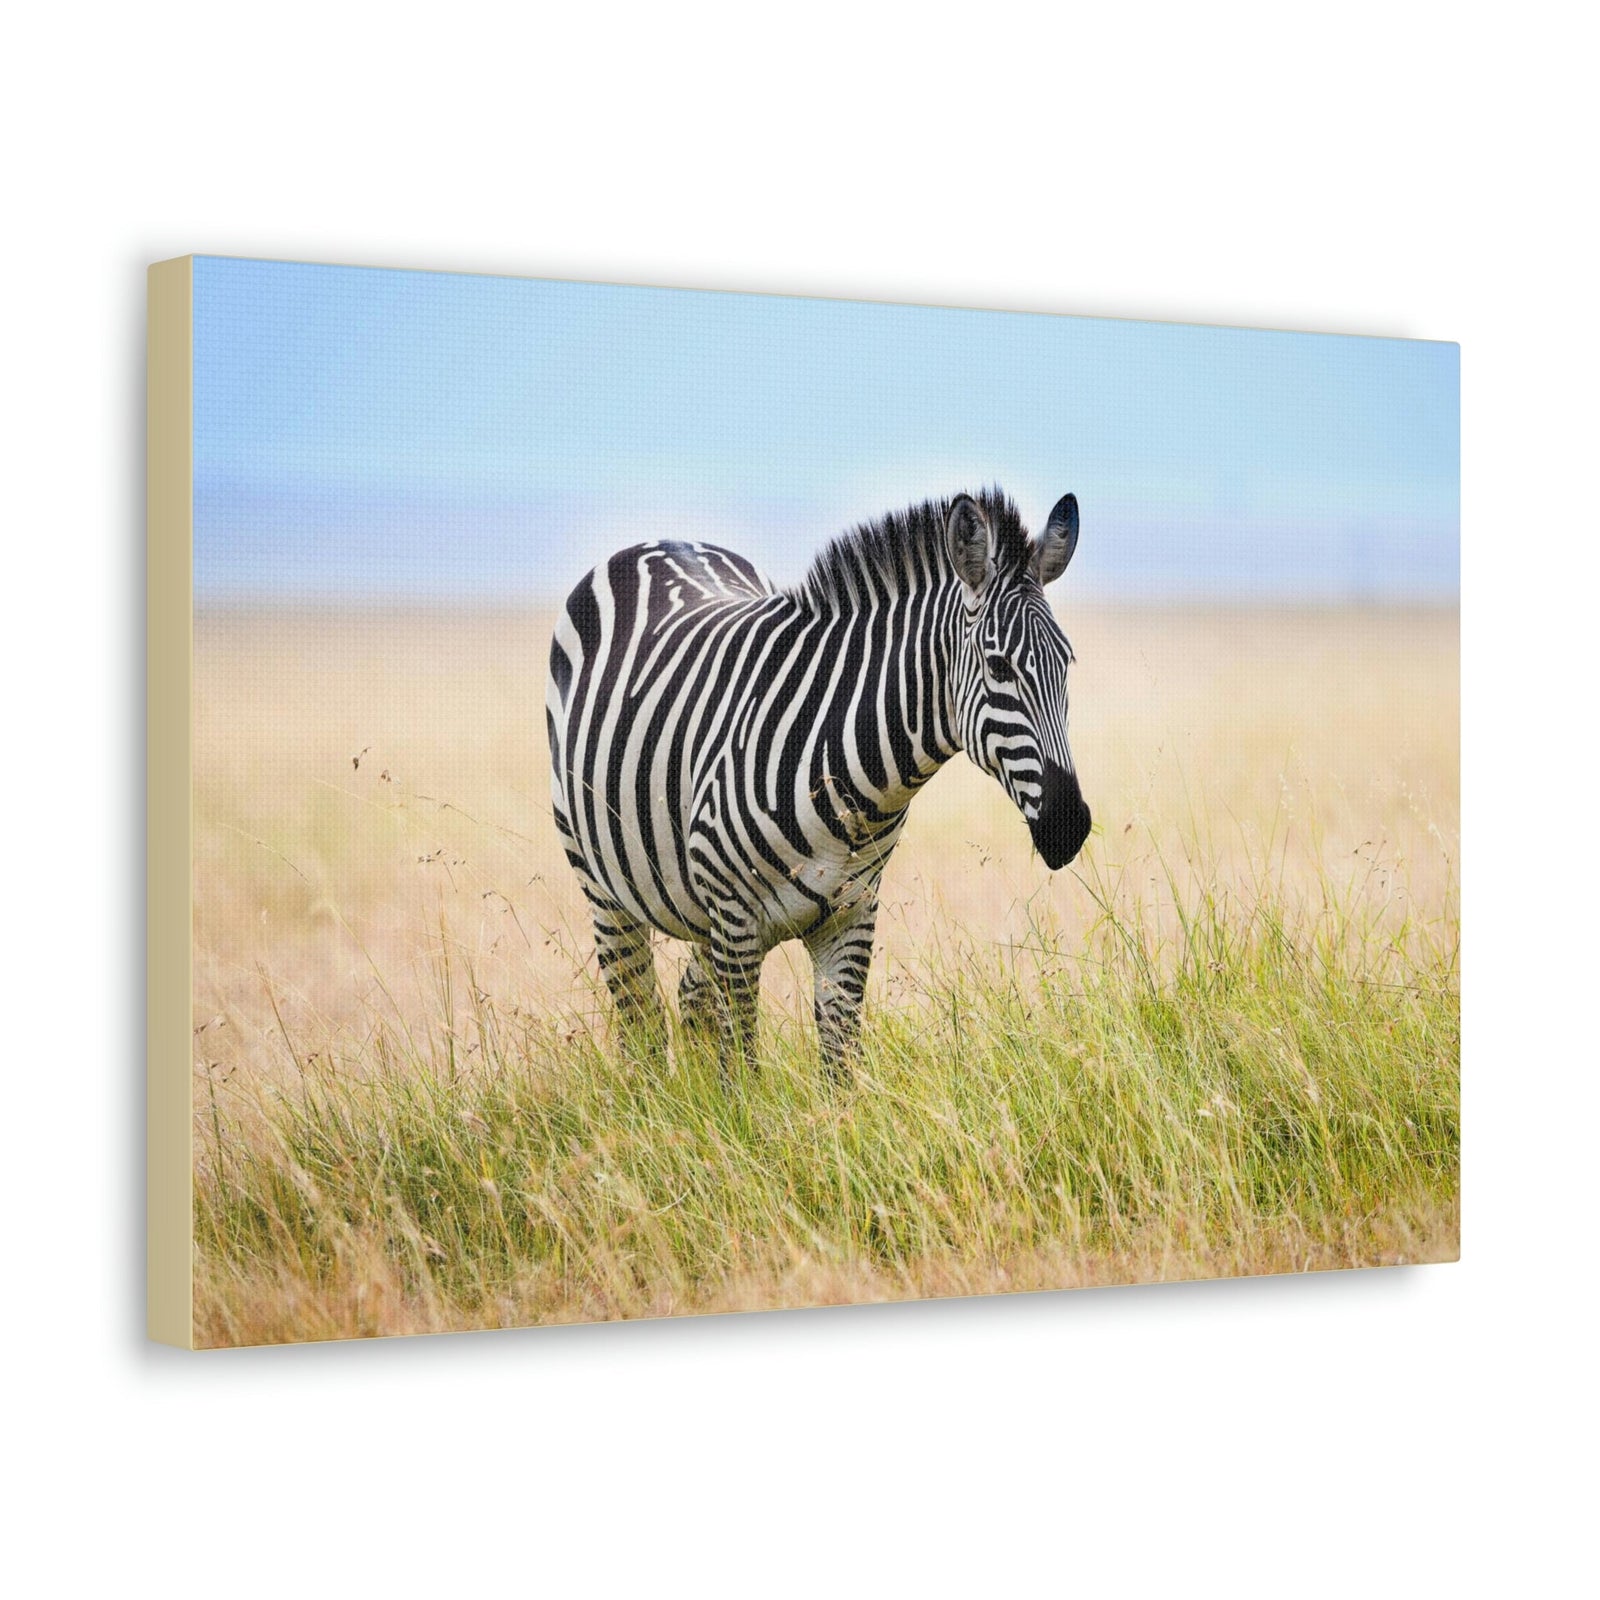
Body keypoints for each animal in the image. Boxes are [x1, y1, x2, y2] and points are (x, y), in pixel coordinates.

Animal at [546, 487, 1091, 1078]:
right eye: (998, 667)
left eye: (1068, 664)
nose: (1069, 826)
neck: (852, 782)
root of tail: (661, 540)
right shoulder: (736, 920)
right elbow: (742, 1066)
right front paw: (735, 1104)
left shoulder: (851, 917)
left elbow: (838, 1065)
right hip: (606, 888)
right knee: (639, 1019)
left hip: (700, 906)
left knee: (691, 999)